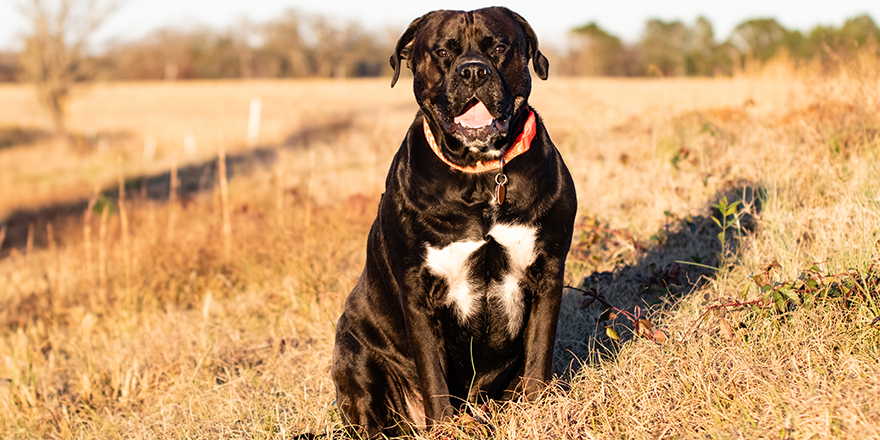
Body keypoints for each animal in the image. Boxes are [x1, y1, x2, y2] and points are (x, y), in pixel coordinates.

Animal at [332, 6, 576, 436]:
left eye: (499, 48)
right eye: (443, 52)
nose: (474, 71)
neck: (481, 175)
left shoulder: (547, 273)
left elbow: (538, 359)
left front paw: (538, 412)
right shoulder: (418, 293)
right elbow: (434, 377)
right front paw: (446, 426)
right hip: (351, 353)